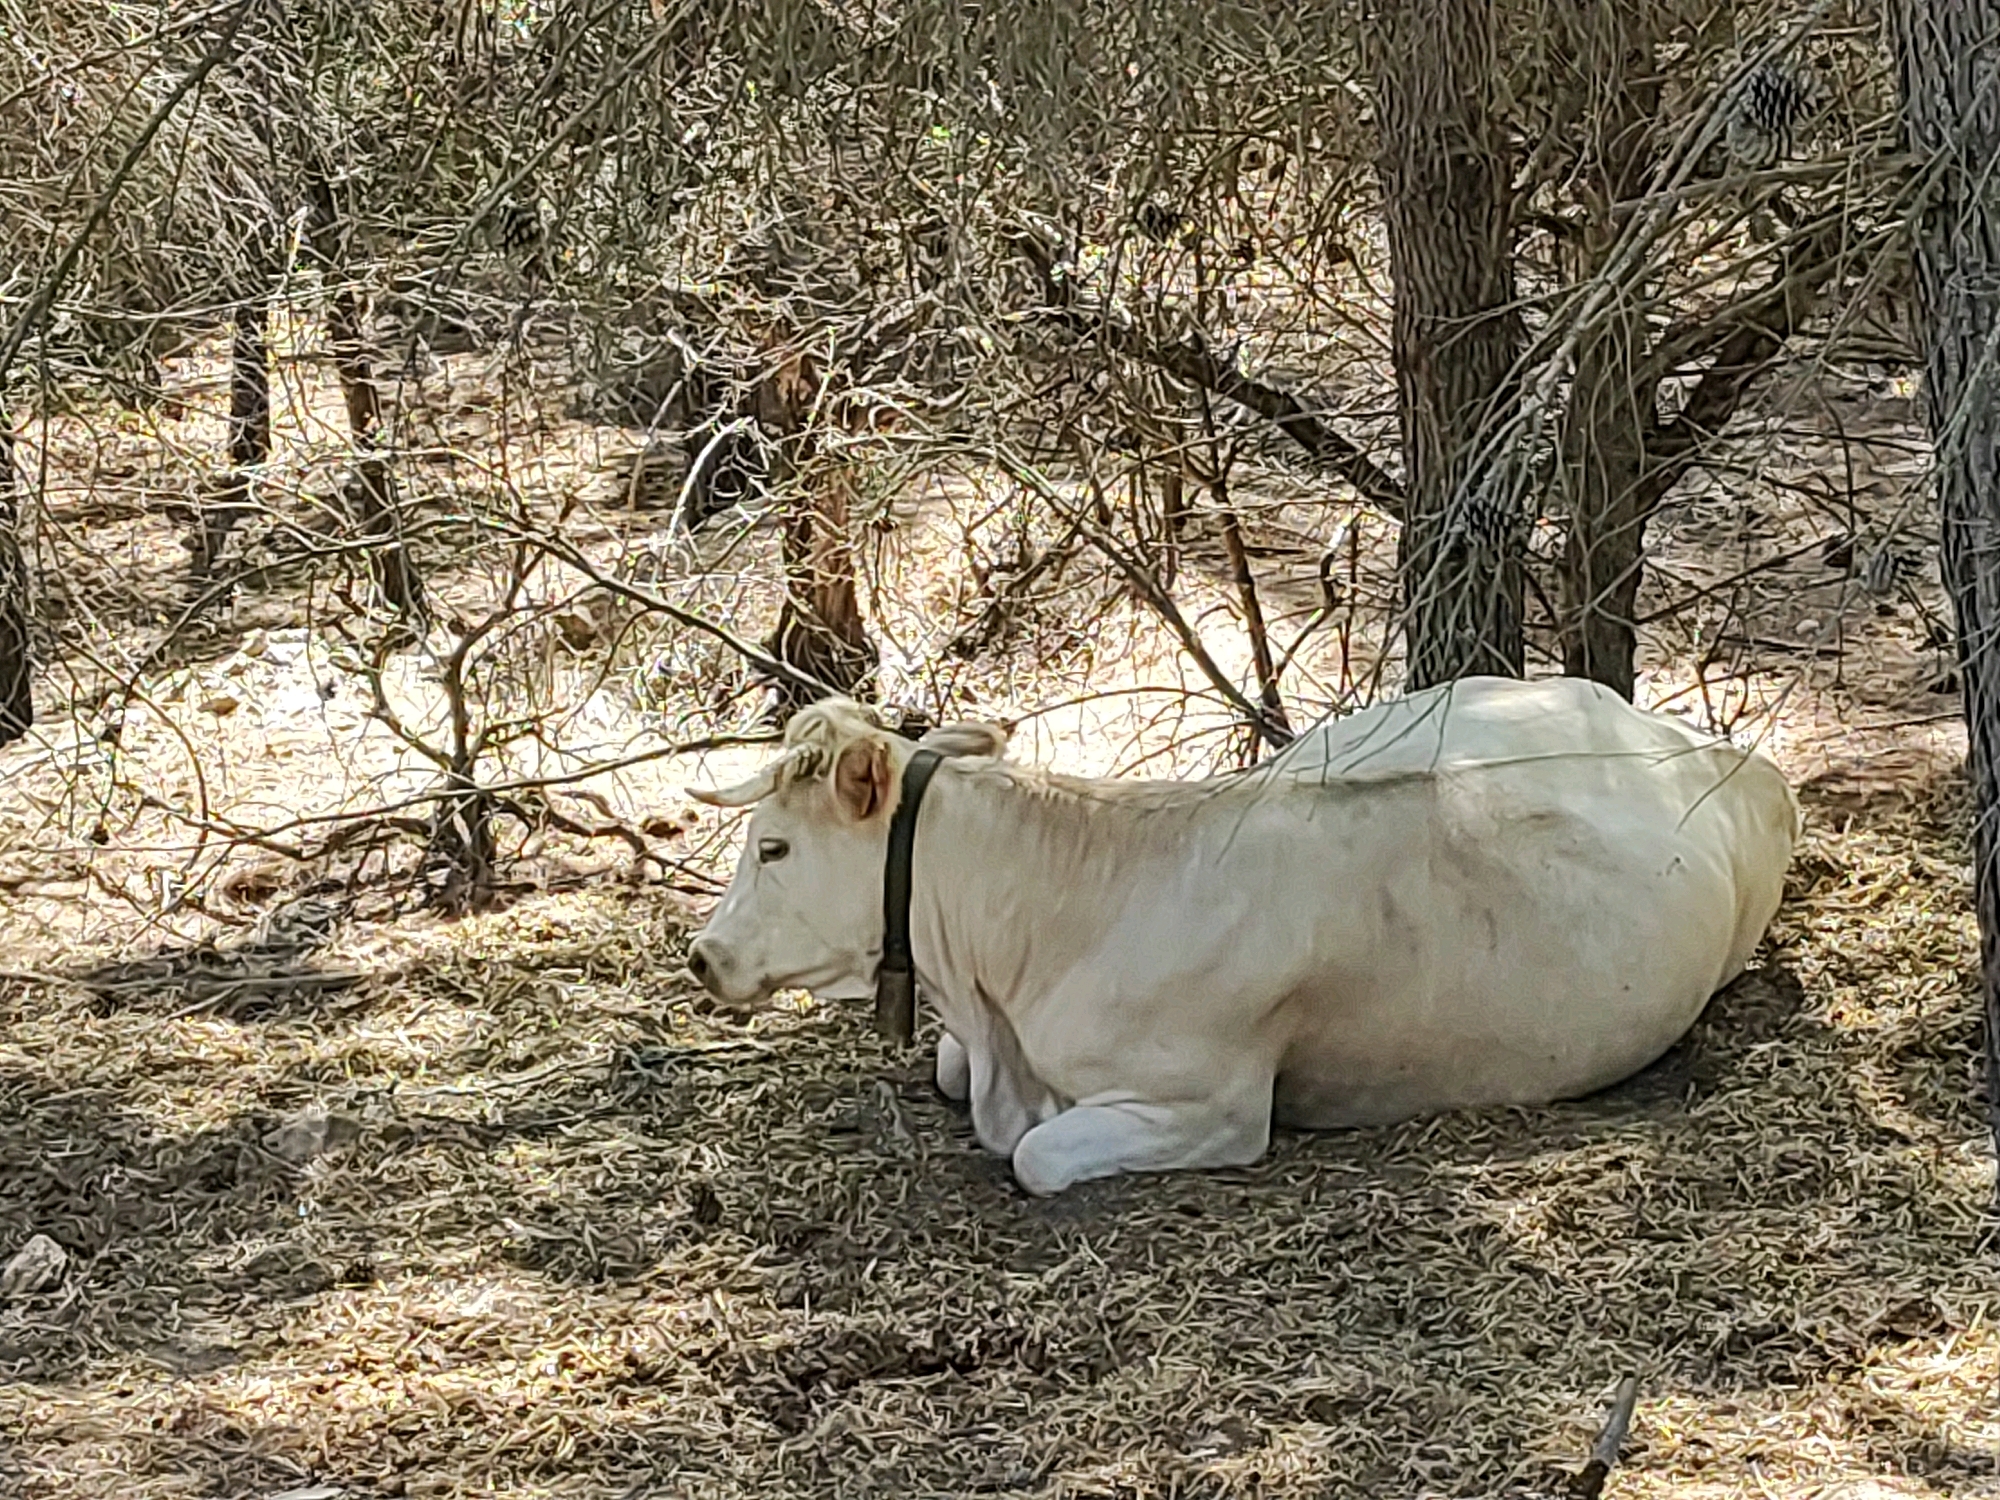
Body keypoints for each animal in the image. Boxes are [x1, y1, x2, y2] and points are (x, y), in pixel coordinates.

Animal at [684, 675, 1800, 1196]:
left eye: (773, 845)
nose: (702, 953)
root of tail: (1698, 739)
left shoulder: (1213, 1107)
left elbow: (1035, 1153)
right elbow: (955, 1075)